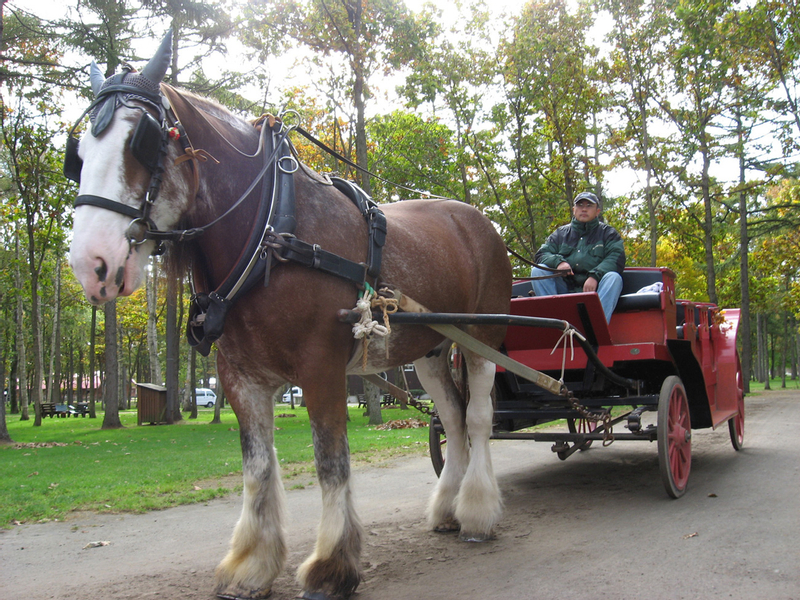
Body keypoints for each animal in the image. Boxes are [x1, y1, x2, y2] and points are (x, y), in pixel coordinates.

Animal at [66, 31, 511, 600]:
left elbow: (330, 462)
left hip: (484, 337)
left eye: (140, 141)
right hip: (430, 350)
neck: (269, 234)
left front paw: (332, 565)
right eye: (77, 154)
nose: (90, 262)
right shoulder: (241, 378)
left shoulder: (321, 370)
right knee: (452, 420)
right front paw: (252, 564)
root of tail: (478, 220)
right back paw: (447, 510)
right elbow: (257, 468)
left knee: (477, 417)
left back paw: (477, 512)